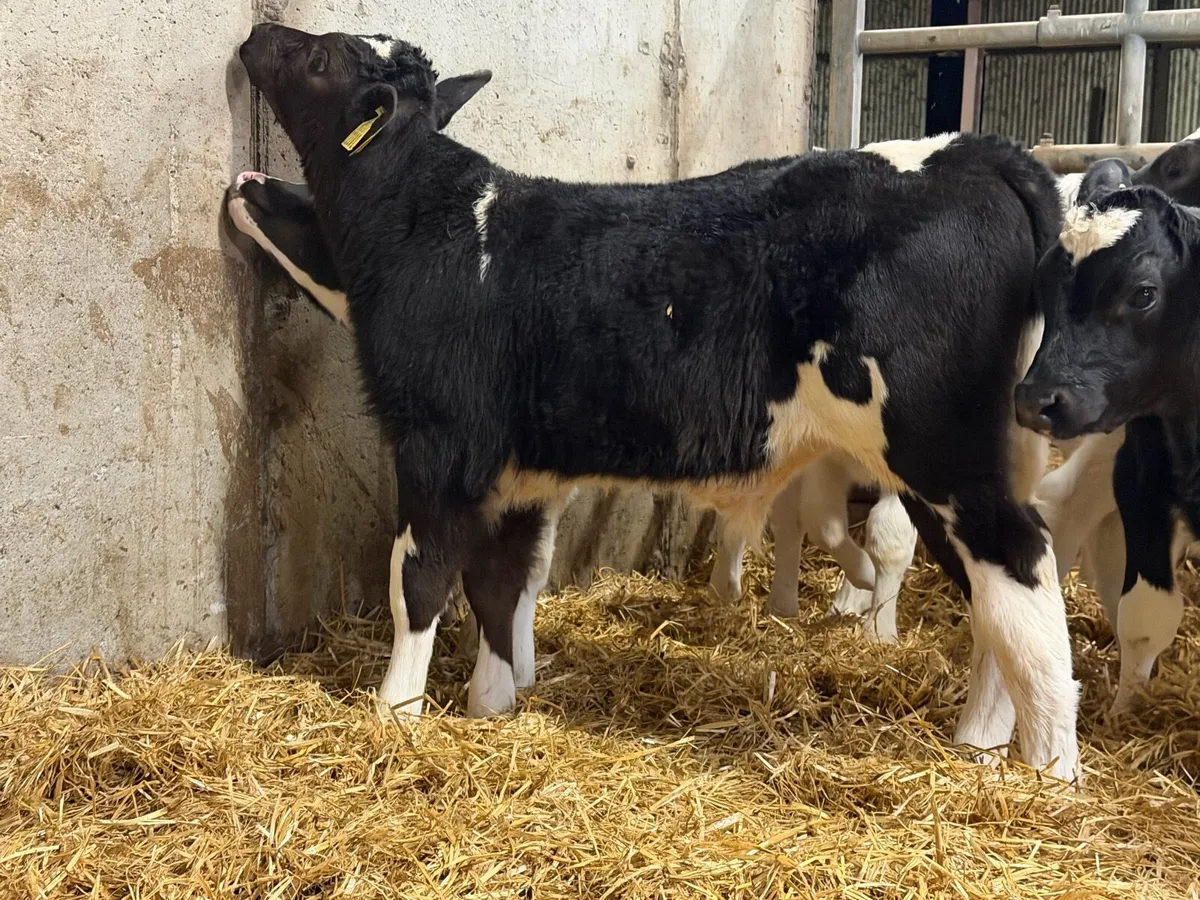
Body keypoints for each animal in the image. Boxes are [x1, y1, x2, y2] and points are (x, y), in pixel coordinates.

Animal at [238, 23, 1079, 779]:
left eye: (319, 56)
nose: (255, 34)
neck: (436, 226)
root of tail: (971, 151)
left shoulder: (437, 445)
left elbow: (419, 579)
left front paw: (393, 712)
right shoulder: (521, 472)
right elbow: (503, 584)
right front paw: (493, 708)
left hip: (940, 449)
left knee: (1024, 565)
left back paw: (1049, 770)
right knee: (994, 596)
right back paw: (982, 745)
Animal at [1016, 155, 1200, 718]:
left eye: (1143, 293)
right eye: (1043, 285)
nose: (1036, 400)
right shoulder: (1140, 479)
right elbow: (1145, 614)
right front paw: (1125, 711)